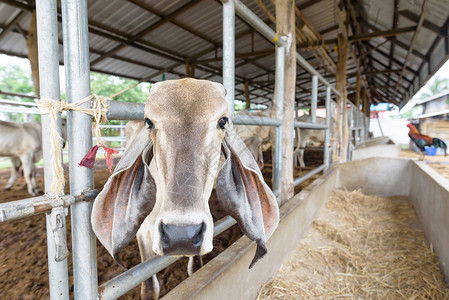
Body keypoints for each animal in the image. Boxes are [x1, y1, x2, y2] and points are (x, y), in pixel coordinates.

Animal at [91, 78, 278, 298]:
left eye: (222, 121)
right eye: (149, 122)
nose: (181, 235)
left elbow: (195, 269)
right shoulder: (143, 231)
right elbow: (149, 288)